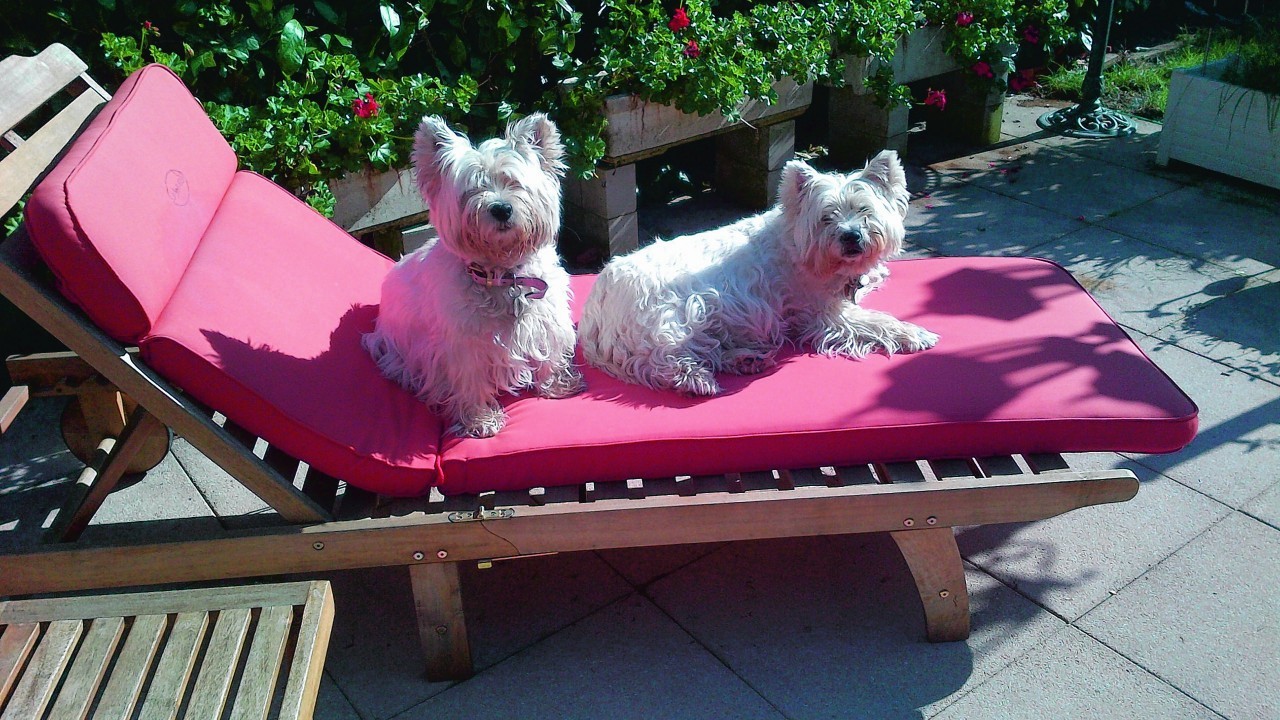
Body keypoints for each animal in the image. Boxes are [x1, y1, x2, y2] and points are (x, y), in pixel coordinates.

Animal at [366, 114, 586, 435]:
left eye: (514, 182)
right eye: (472, 188)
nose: (501, 209)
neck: (503, 273)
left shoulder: (547, 317)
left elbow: (552, 351)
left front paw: (559, 385)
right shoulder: (461, 346)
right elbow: (469, 382)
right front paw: (481, 420)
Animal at [586, 149, 936, 394]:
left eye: (865, 211)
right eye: (827, 217)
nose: (851, 237)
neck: (798, 246)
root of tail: (596, 304)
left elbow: (863, 285)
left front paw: (875, 274)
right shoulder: (824, 315)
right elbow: (876, 321)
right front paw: (914, 333)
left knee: (711, 348)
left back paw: (745, 360)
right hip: (672, 318)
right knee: (662, 359)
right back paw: (697, 381)